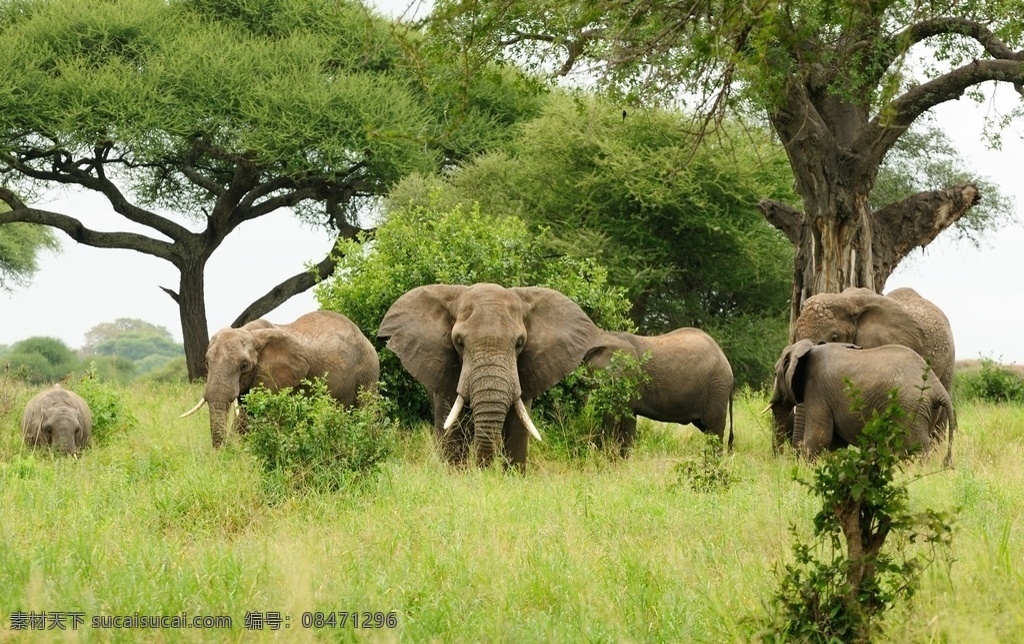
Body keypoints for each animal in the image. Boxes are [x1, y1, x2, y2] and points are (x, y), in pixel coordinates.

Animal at [378, 283, 604, 472]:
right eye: (459, 342)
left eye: (520, 343)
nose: (483, 471)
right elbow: (452, 433)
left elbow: (517, 430)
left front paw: (512, 477)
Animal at [768, 340, 955, 465]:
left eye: (775, 374)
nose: (779, 462)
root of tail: (938, 387)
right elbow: (835, 443)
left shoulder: (817, 389)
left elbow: (819, 438)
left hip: (910, 407)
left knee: (915, 448)